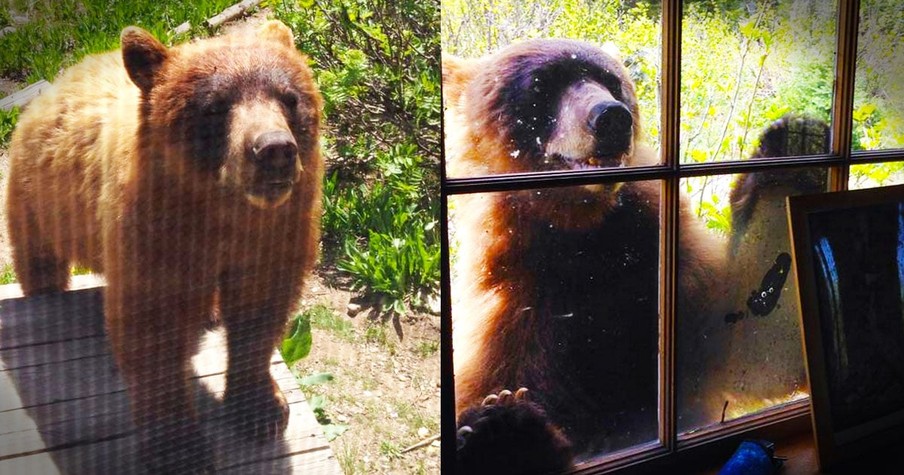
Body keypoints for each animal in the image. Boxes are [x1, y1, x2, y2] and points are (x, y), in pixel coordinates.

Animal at [5, 21, 323, 473]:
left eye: (290, 97)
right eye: (215, 106)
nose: (274, 149)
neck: (220, 213)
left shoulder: (273, 231)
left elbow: (260, 310)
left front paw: (261, 408)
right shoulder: (155, 237)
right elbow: (153, 332)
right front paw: (180, 447)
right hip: (38, 204)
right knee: (40, 266)